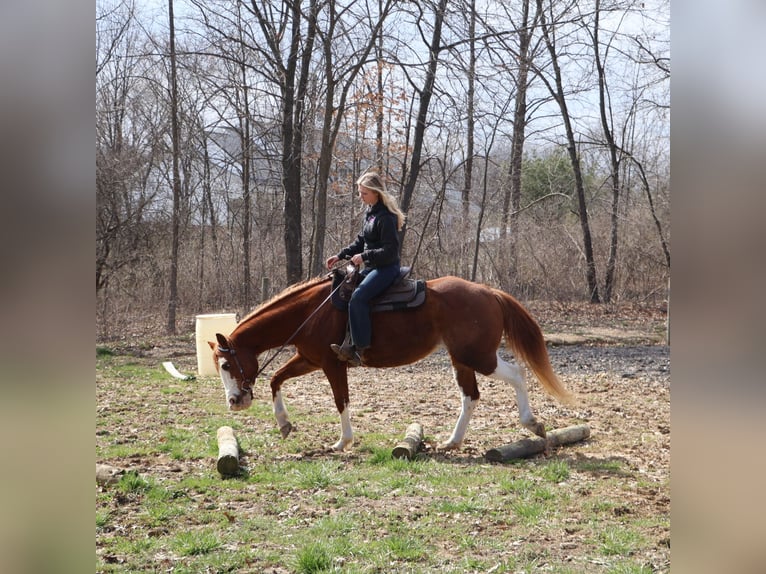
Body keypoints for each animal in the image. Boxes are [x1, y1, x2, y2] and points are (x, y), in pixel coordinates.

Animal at [209, 273, 573, 452]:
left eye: (226, 366)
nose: (234, 402)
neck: (310, 311)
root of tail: (489, 292)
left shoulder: (332, 364)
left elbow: (341, 401)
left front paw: (342, 441)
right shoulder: (308, 359)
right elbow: (276, 379)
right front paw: (284, 424)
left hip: (477, 355)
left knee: (517, 373)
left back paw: (531, 423)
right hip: (462, 358)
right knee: (470, 396)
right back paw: (452, 441)